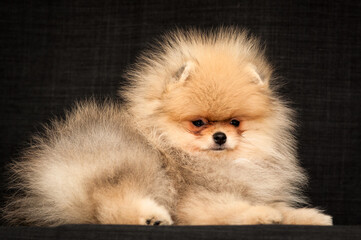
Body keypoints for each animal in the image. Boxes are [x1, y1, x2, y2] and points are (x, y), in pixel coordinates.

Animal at [2, 27, 332, 225]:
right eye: (198, 123)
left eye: (235, 122)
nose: (220, 136)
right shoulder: (196, 200)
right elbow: (230, 209)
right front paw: (262, 214)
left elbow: (284, 209)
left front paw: (310, 217)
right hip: (133, 163)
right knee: (108, 206)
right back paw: (150, 217)